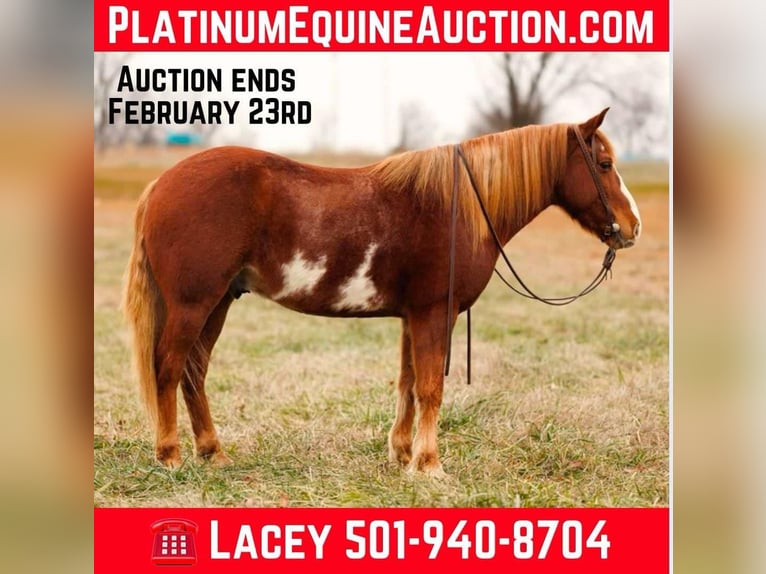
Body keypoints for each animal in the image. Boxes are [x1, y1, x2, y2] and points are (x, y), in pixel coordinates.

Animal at [122, 108, 641, 475]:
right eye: (604, 164)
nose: (631, 227)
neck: (459, 205)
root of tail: (160, 185)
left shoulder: (414, 316)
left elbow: (409, 384)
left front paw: (403, 453)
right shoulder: (435, 313)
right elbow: (431, 387)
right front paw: (430, 465)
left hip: (218, 304)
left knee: (194, 372)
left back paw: (213, 452)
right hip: (194, 304)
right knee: (169, 367)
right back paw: (169, 454)